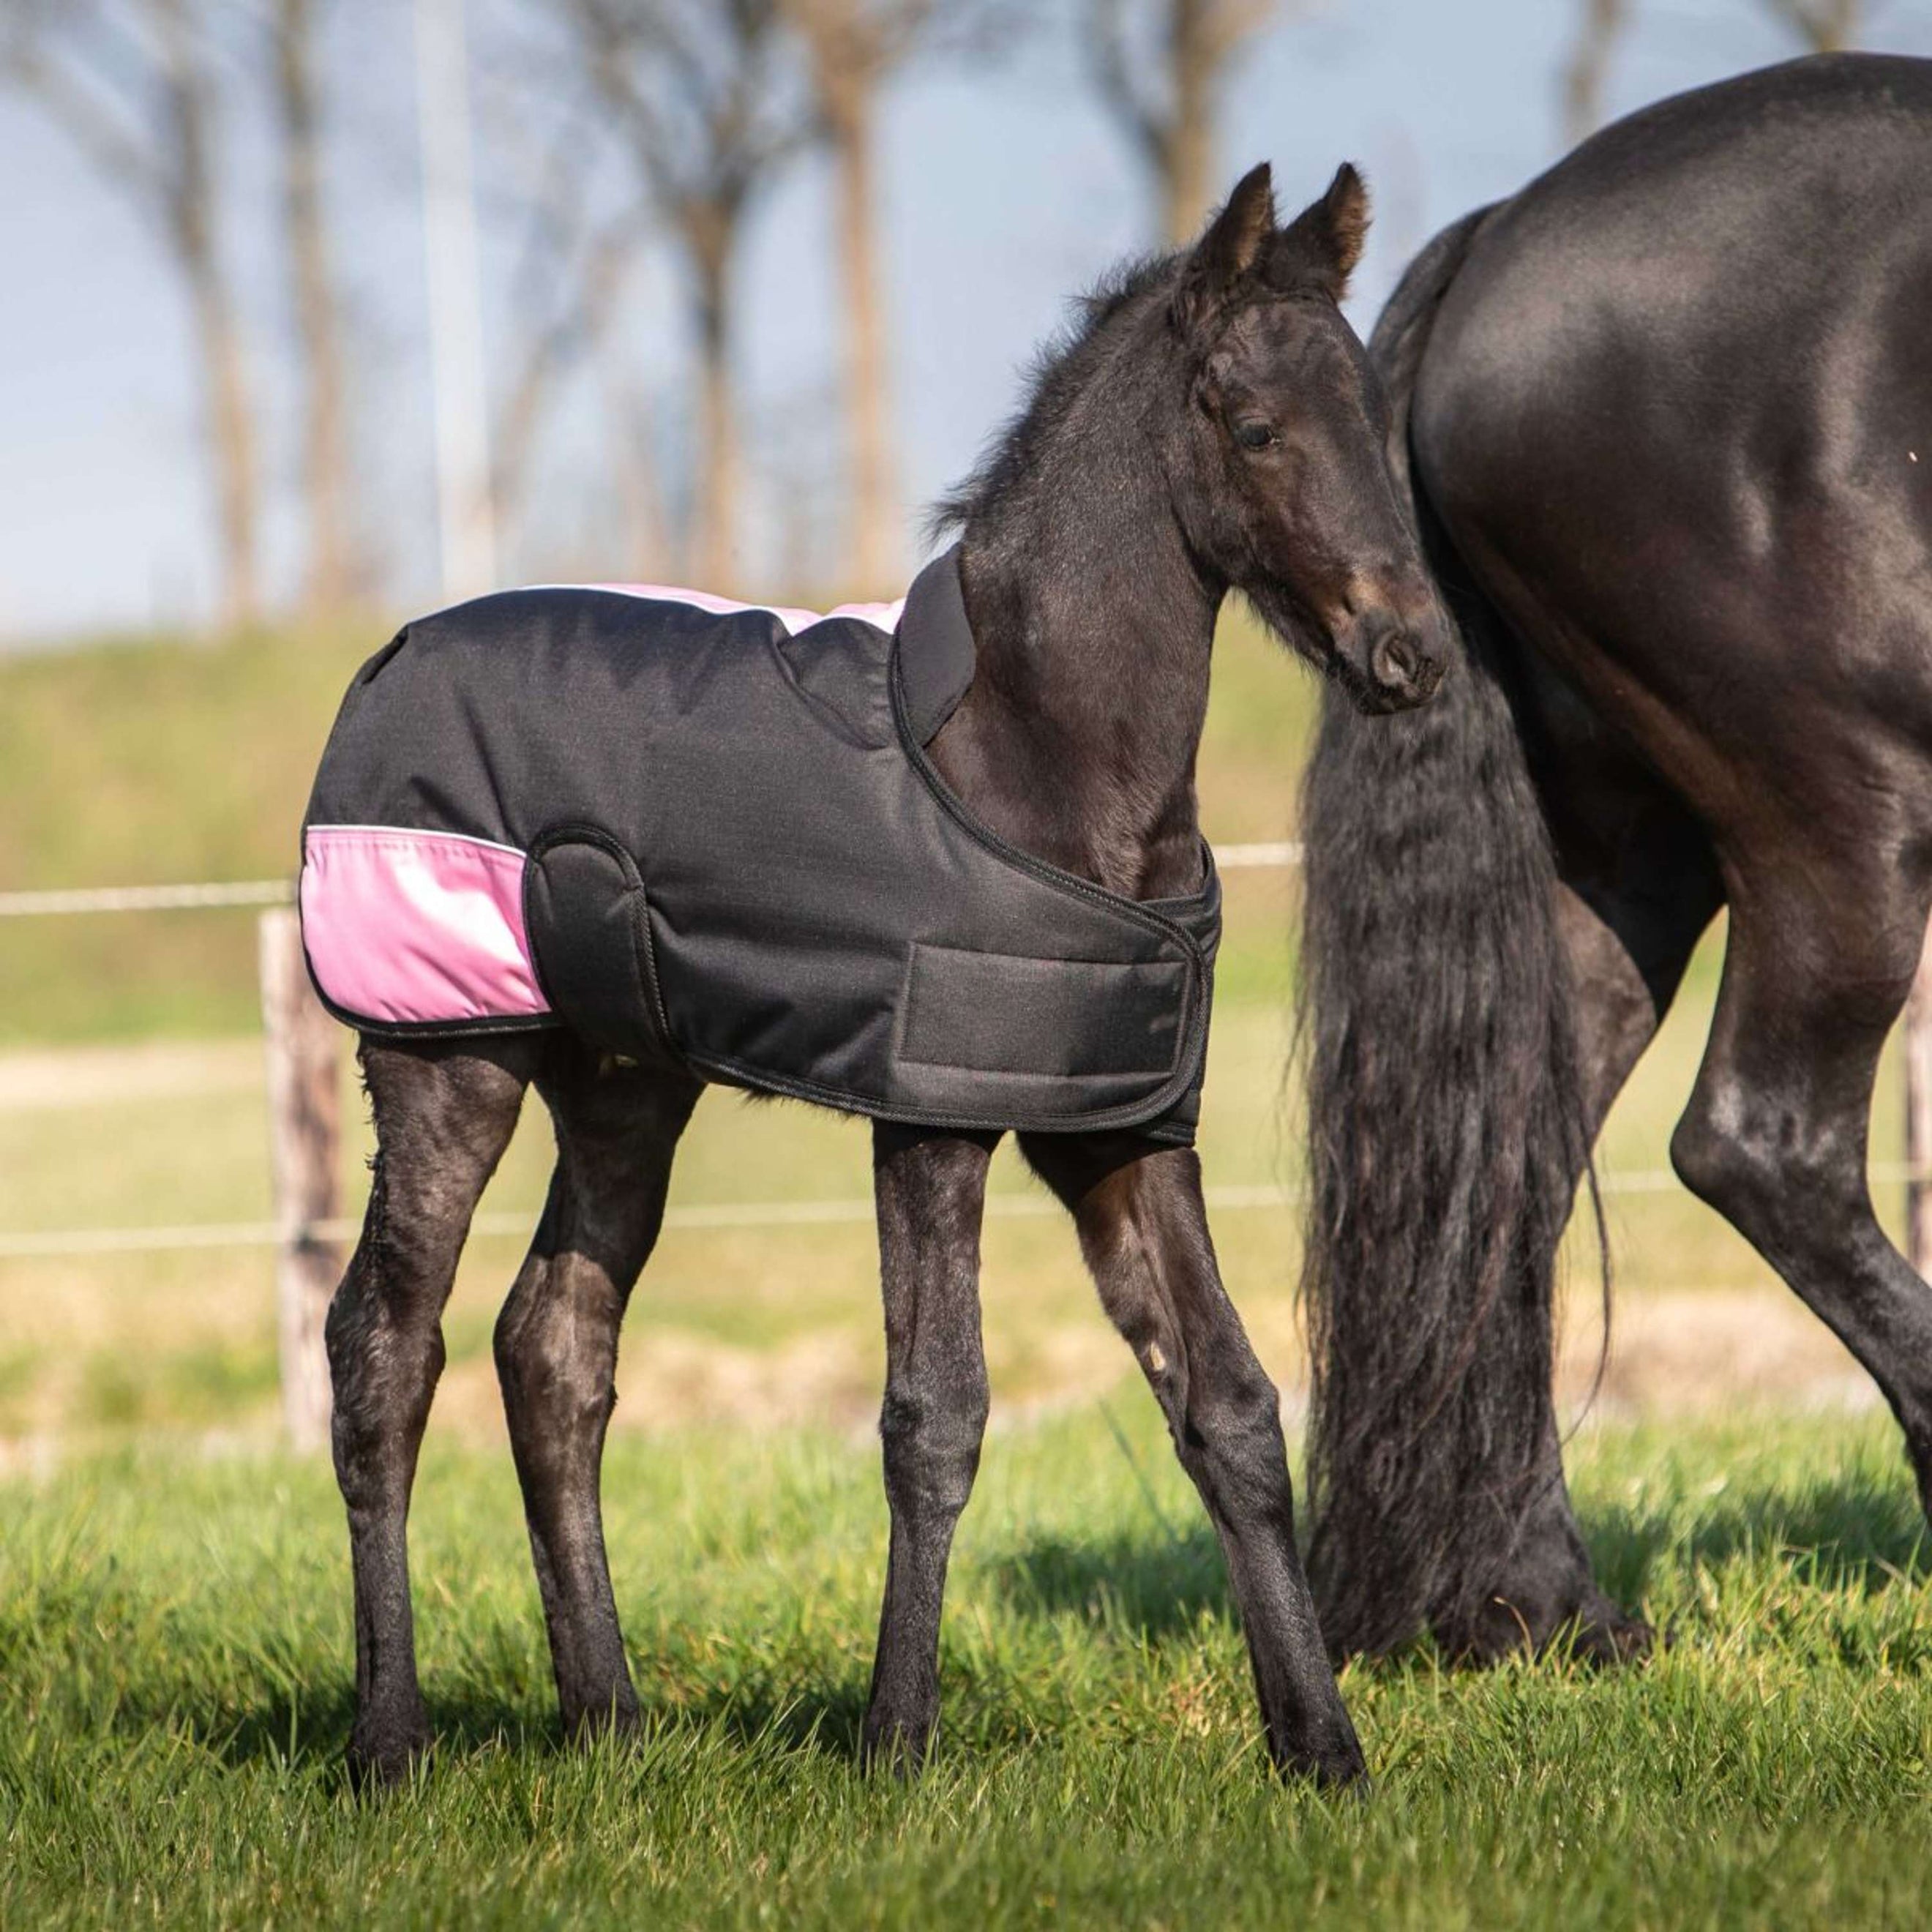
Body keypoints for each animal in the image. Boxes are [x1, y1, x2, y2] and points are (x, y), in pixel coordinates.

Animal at [313, 160, 1446, 1790]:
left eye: (1370, 412)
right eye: (1252, 424)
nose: (1413, 656)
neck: (1040, 757)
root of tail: (385, 660)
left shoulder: (1118, 1129)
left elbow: (1230, 1405)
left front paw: (1324, 1750)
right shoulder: (934, 1119)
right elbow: (937, 1414)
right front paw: (896, 1744)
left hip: (624, 1088)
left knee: (553, 1347)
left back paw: (612, 1723)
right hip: (443, 1058)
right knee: (386, 1348)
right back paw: (387, 1742)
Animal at [1299, 52, 1932, 1663]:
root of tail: (1499, 242)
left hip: (1629, 857)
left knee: (1505, 1183)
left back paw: (1539, 1605)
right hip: (1839, 817)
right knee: (1760, 1146)